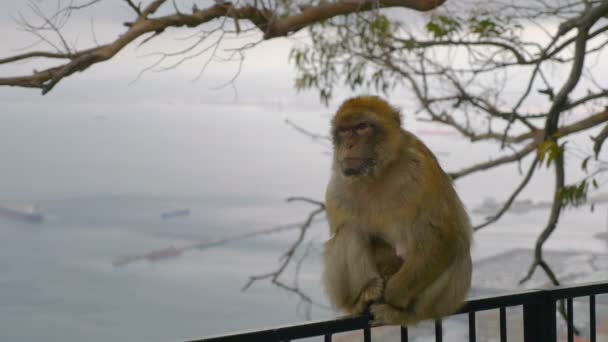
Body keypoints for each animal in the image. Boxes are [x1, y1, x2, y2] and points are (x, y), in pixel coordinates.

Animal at [320, 95, 472, 324]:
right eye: (344, 130)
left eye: (361, 127)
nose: (349, 144)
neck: (379, 174)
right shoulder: (339, 185)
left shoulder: (422, 170)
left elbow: (442, 237)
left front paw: (393, 294)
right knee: (349, 231)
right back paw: (363, 297)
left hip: (442, 302)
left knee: (456, 248)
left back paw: (402, 312)